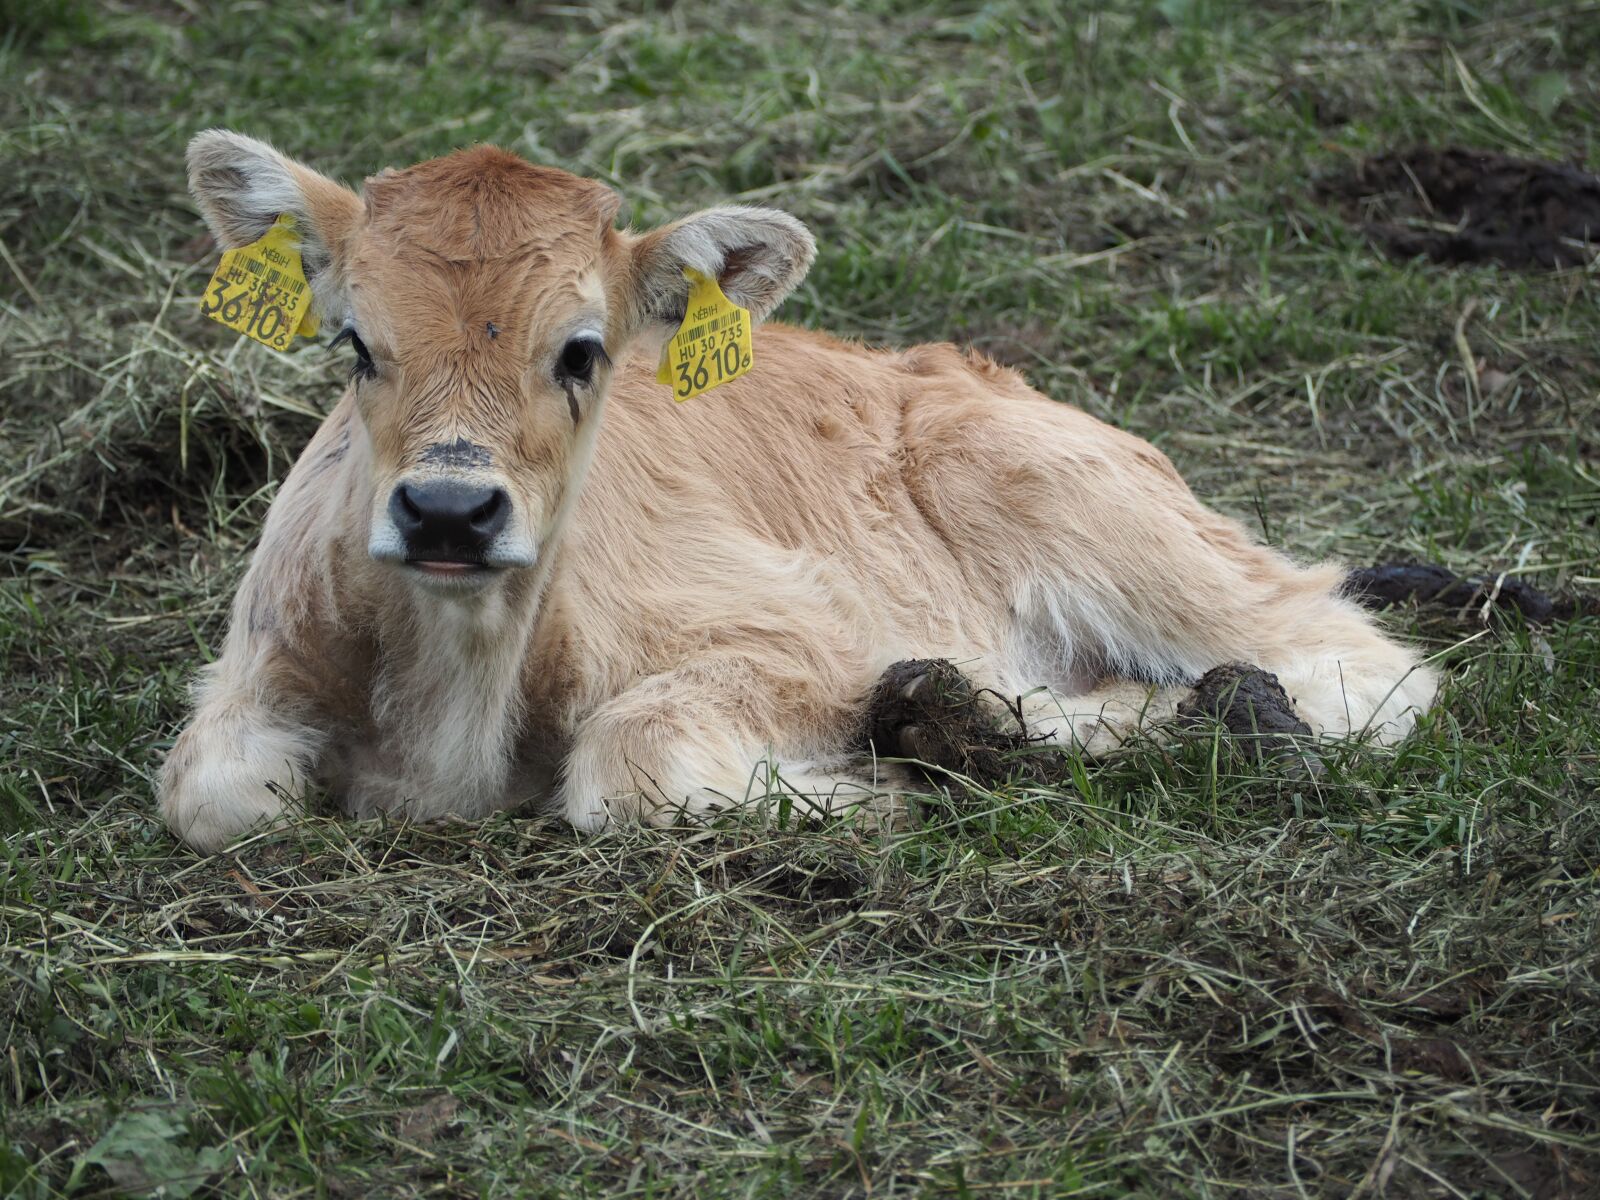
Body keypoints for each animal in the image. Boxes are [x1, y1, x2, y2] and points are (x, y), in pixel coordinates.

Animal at [160, 130, 1439, 853]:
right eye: (355, 344)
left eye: (581, 350)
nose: (446, 513)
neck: (453, 710)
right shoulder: (255, 667)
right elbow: (211, 795)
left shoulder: (806, 639)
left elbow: (631, 764)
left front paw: (871, 794)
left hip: (1089, 512)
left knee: (1355, 663)